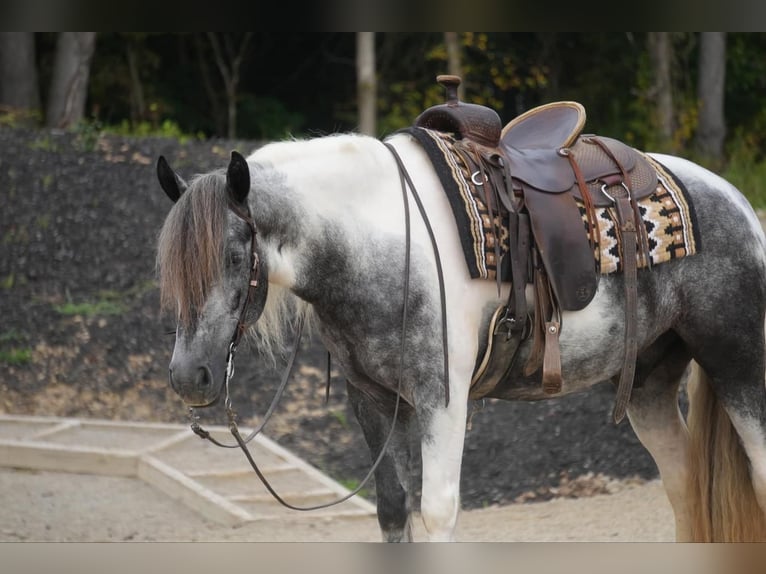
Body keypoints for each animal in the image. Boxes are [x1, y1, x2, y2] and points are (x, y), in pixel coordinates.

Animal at [153, 122, 766, 544]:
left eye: (236, 258)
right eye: (172, 269)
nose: (187, 377)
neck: (379, 243)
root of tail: (739, 202)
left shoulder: (441, 402)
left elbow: (437, 511)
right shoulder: (372, 401)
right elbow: (393, 508)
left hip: (740, 367)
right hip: (648, 386)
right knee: (684, 484)